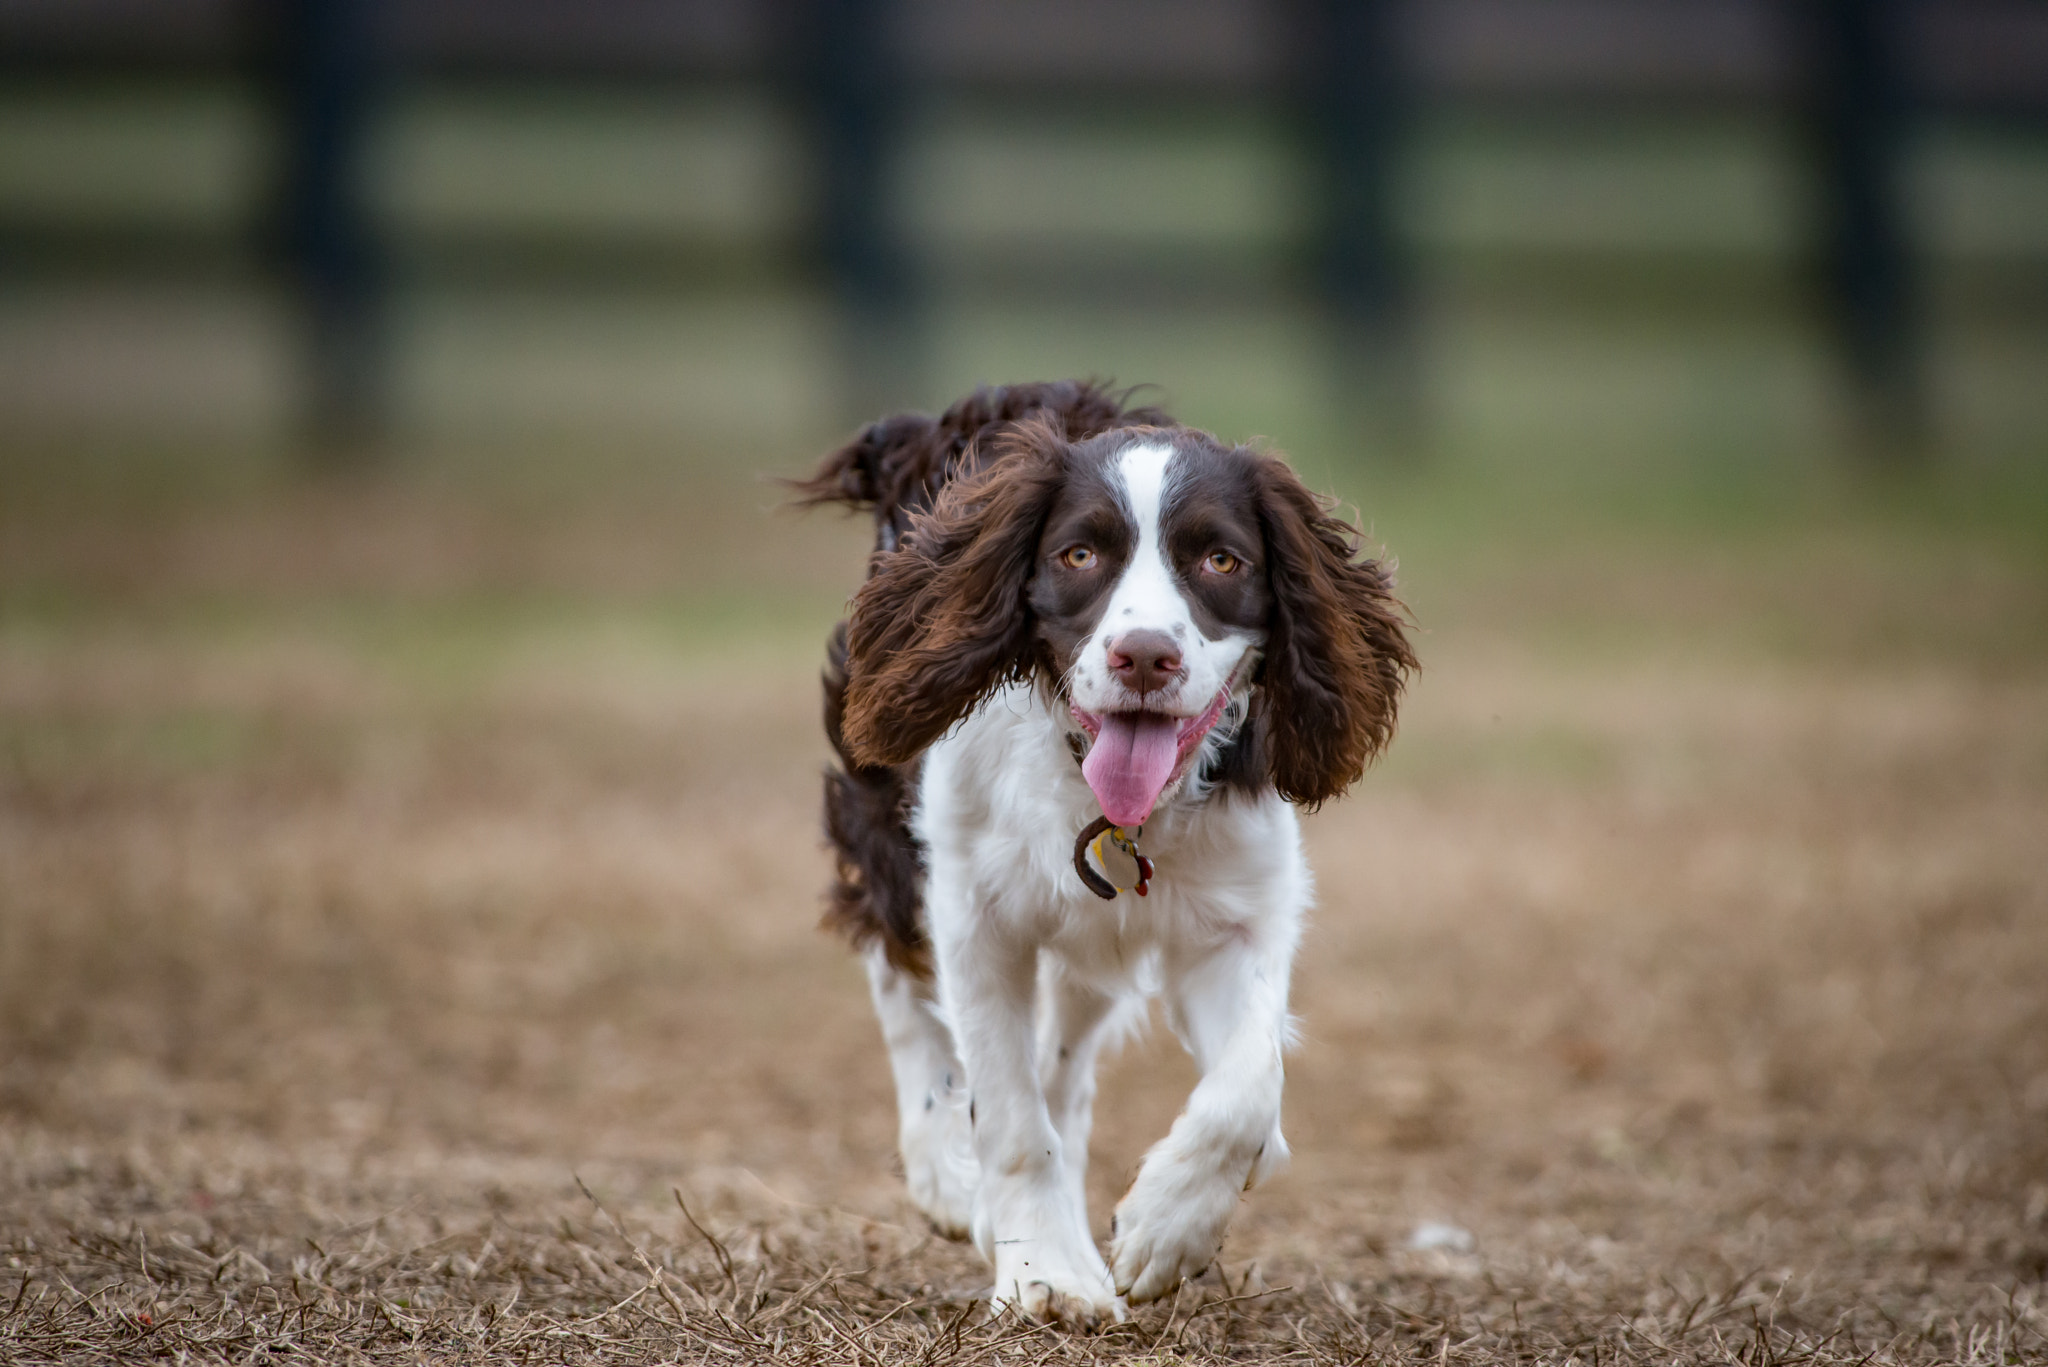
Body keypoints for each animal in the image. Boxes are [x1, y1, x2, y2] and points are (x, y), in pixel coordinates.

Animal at [790, 379, 1417, 1319]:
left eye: (1221, 560)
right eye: (1080, 553)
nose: (1144, 655)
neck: (1114, 810)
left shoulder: (1238, 917)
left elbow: (1248, 1089)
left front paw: (1166, 1227)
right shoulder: (975, 914)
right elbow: (1011, 1114)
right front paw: (1044, 1272)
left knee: (1067, 1065)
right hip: (888, 799)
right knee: (897, 975)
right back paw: (947, 1173)